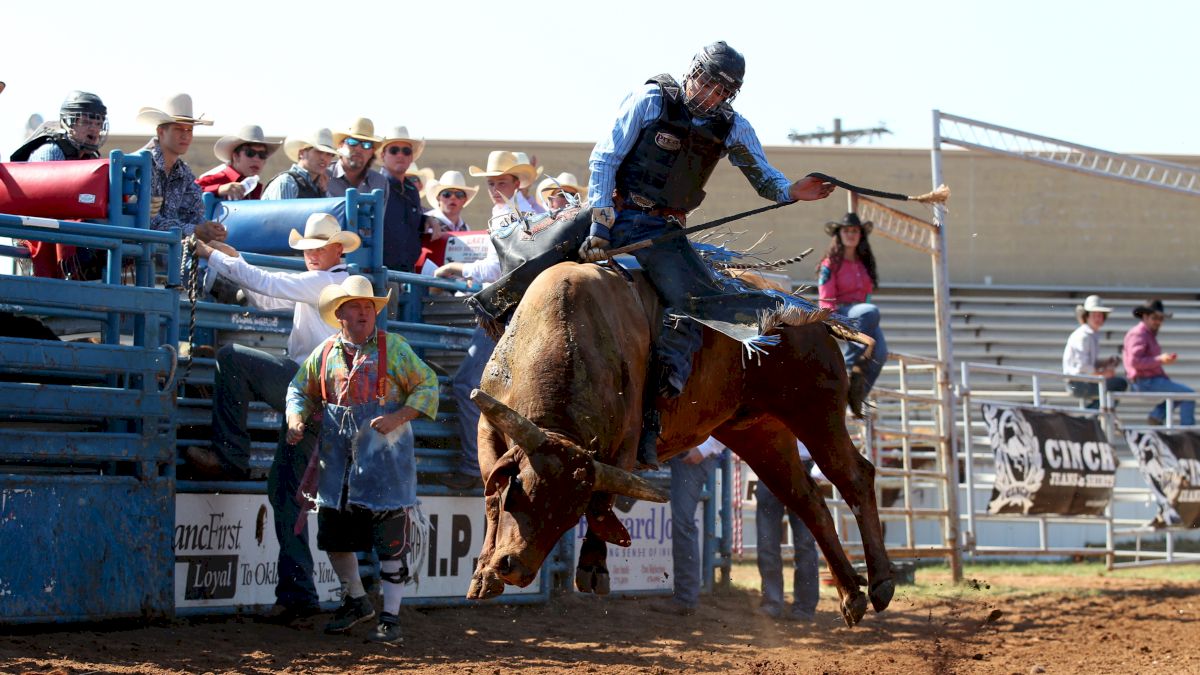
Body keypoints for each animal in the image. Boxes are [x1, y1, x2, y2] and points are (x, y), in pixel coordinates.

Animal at [463, 246, 897, 624]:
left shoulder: (625, 442)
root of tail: (807, 312)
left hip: (815, 409)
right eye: (519, 492)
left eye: (569, 515)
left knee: (852, 476)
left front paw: (593, 567)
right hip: (759, 431)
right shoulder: (488, 425)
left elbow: (603, 503)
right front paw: (482, 574)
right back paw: (851, 594)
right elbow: (490, 494)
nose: (514, 567)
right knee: (805, 498)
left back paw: (879, 583)